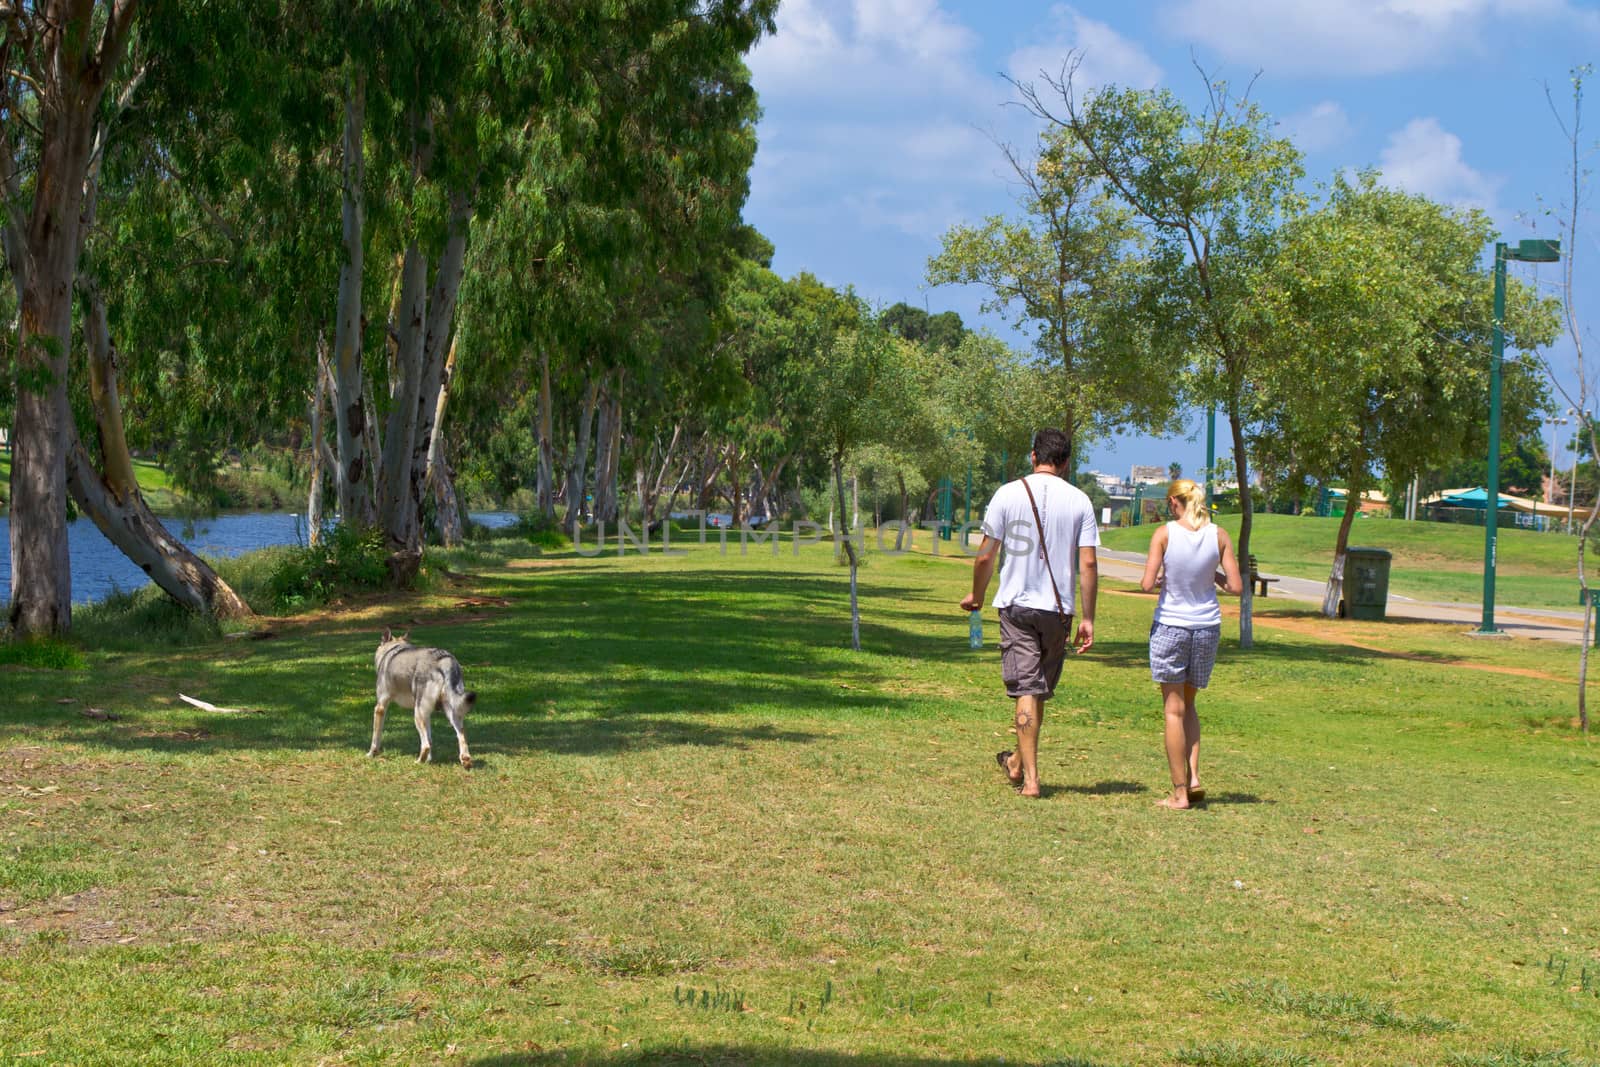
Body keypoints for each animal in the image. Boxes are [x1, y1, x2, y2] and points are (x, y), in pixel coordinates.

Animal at [369, 627, 473, 767]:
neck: (393, 649)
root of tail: (444, 659)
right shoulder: (427, 714)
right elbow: (431, 738)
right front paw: (429, 760)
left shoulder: (380, 707)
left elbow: (376, 737)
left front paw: (371, 754)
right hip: (450, 712)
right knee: (460, 735)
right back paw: (464, 760)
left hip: (417, 715)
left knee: (426, 745)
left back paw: (418, 762)